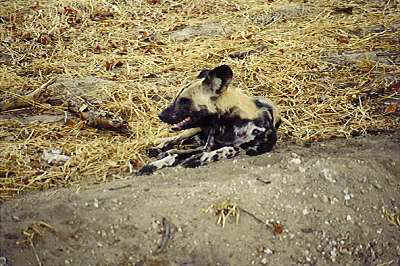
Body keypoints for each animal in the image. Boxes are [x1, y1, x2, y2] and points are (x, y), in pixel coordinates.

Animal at [138, 64, 282, 176]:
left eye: (184, 101)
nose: (160, 115)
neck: (227, 123)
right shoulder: (206, 146)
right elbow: (177, 155)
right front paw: (154, 164)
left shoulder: (245, 149)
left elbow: (229, 149)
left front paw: (197, 159)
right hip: (192, 130)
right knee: (174, 140)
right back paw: (158, 149)